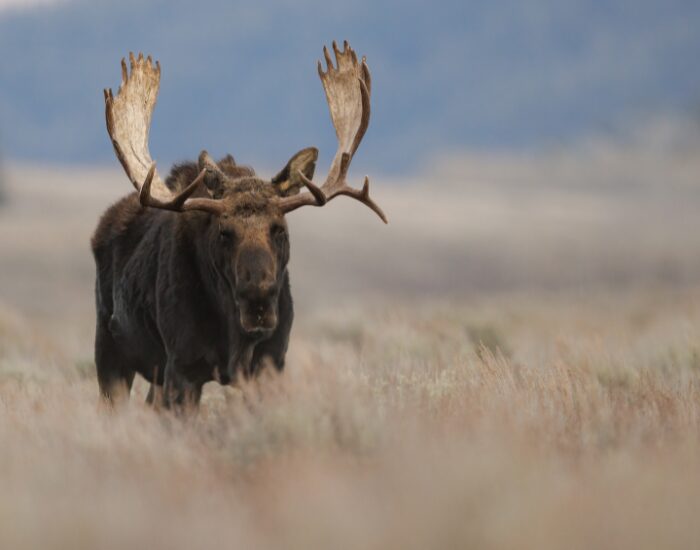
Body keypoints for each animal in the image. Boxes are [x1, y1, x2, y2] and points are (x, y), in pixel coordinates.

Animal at [91, 42, 386, 410]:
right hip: (110, 351)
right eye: (224, 232)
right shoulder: (182, 368)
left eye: (280, 229)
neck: (235, 338)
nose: (257, 299)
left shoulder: (270, 364)